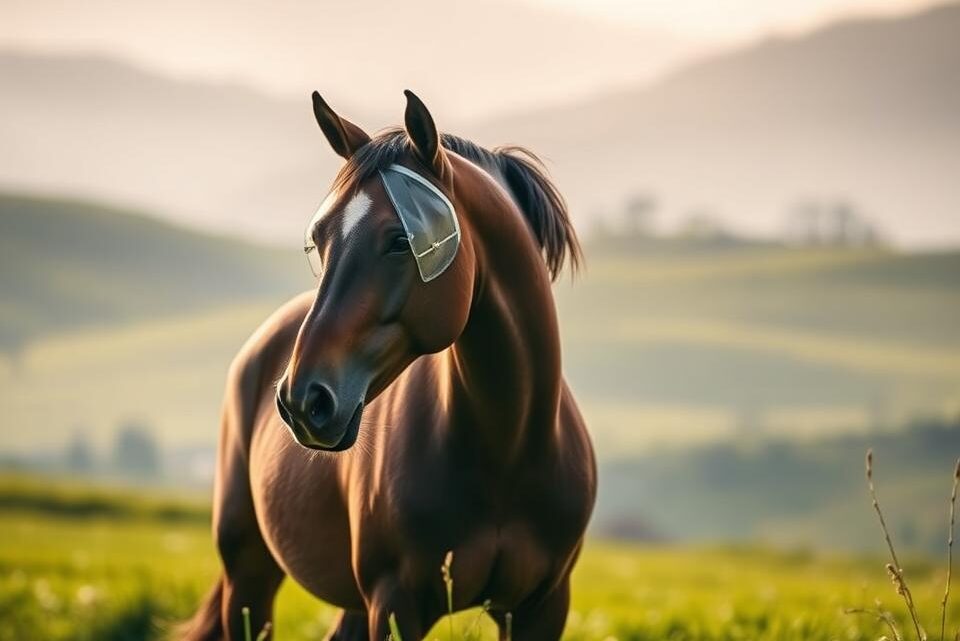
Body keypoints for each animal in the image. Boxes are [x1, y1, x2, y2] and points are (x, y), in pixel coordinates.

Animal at [180, 90, 596, 641]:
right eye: (320, 239)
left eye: (401, 240)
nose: (301, 400)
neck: (506, 451)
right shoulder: (396, 603)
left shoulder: (541, 608)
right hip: (249, 577)